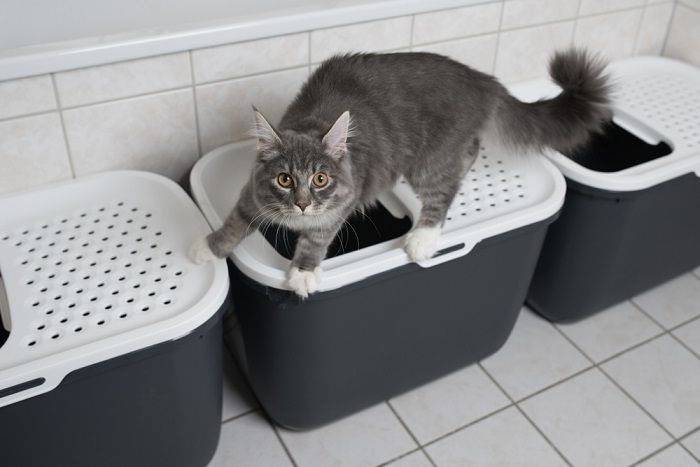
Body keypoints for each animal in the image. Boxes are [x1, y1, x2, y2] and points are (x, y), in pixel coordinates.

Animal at [189, 47, 608, 296]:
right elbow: (233, 224)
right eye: (285, 179)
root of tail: (481, 80)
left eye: (320, 179)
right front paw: (207, 248)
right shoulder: (251, 195)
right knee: (468, 154)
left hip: (427, 163)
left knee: (445, 191)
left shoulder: (338, 207)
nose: (304, 204)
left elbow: (315, 241)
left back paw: (423, 238)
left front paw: (303, 273)